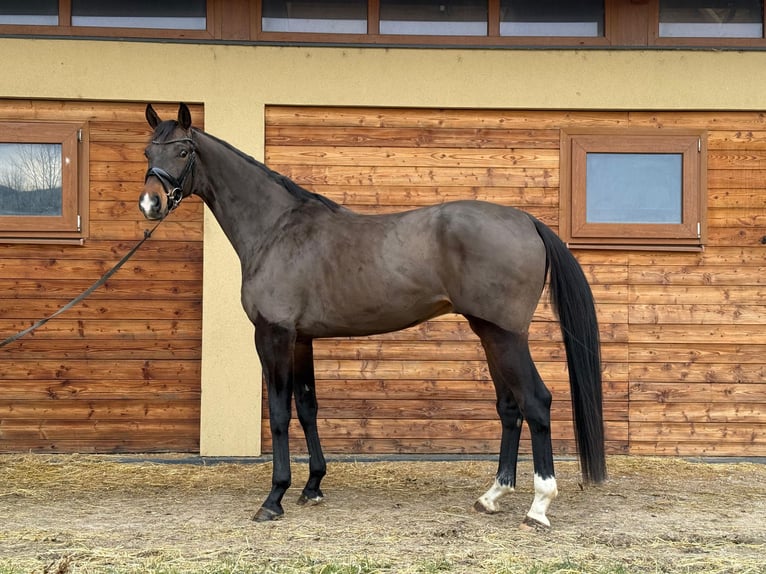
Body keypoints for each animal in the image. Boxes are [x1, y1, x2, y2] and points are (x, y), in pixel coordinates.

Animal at [139, 103, 606, 529]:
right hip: (488, 333)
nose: (150, 203)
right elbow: (307, 406)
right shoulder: (302, 339)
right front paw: (313, 486)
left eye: (183, 150)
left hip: (506, 335)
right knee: (510, 407)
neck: (277, 229)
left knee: (536, 401)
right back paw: (492, 496)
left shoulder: (274, 335)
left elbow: (278, 413)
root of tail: (527, 221)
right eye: (148, 151)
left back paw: (538, 507)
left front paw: (274, 498)